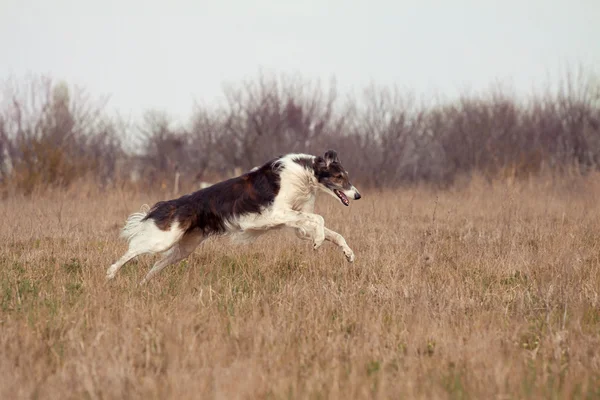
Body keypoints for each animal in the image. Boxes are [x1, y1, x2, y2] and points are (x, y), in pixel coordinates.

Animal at [105, 150, 360, 284]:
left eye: (346, 176)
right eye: (339, 177)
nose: (357, 195)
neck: (305, 173)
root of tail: (172, 203)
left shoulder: (297, 223)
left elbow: (333, 232)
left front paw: (348, 253)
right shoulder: (278, 212)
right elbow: (320, 221)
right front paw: (318, 242)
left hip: (184, 247)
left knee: (157, 263)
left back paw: (143, 283)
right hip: (163, 240)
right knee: (132, 251)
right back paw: (110, 273)